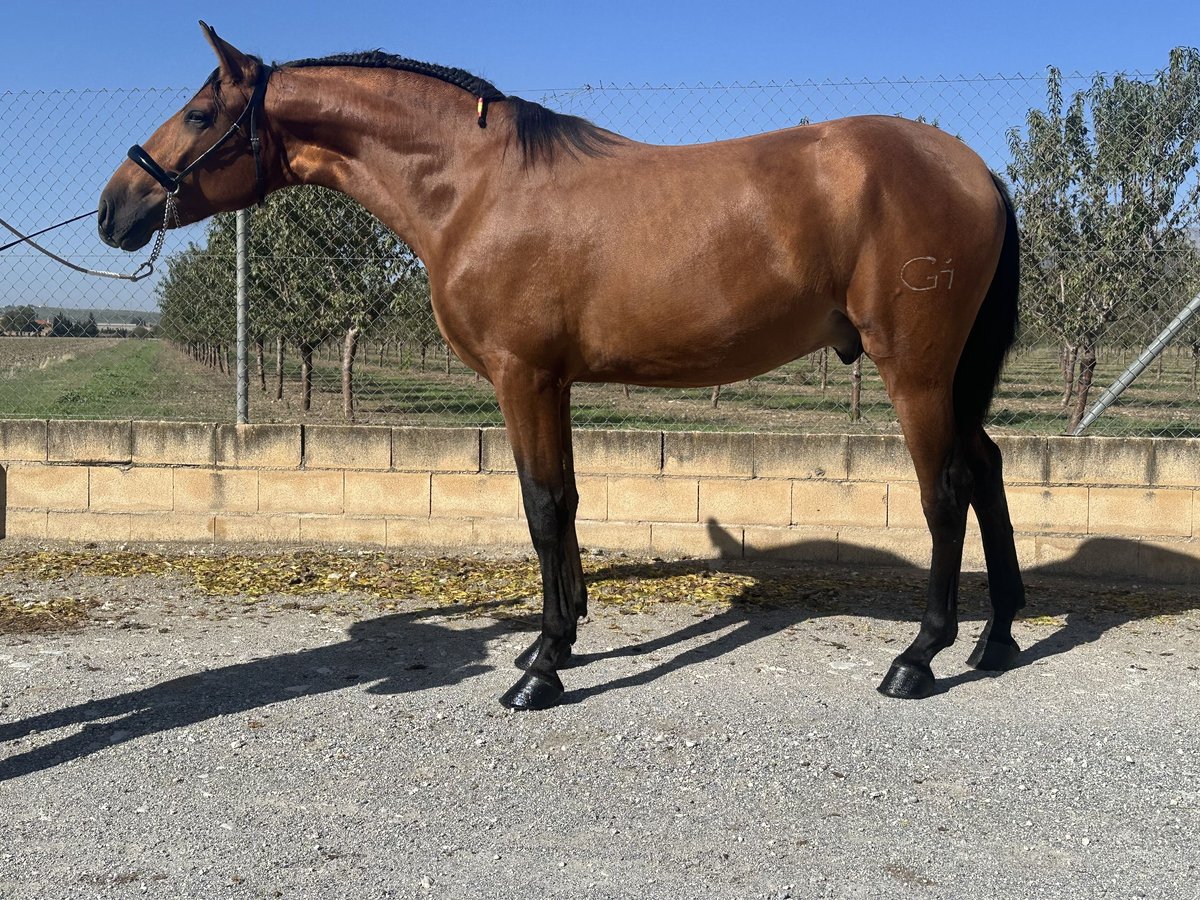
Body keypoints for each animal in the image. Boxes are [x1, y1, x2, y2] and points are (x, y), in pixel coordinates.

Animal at [98, 22, 1027, 710]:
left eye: (198, 113)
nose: (115, 209)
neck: (476, 189)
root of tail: (974, 168)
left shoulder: (525, 377)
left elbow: (542, 506)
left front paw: (542, 668)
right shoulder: (556, 383)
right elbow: (568, 502)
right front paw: (560, 640)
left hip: (915, 373)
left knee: (946, 491)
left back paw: (920, 657)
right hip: (952, 379)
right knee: (987, 470)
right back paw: (997, 638)